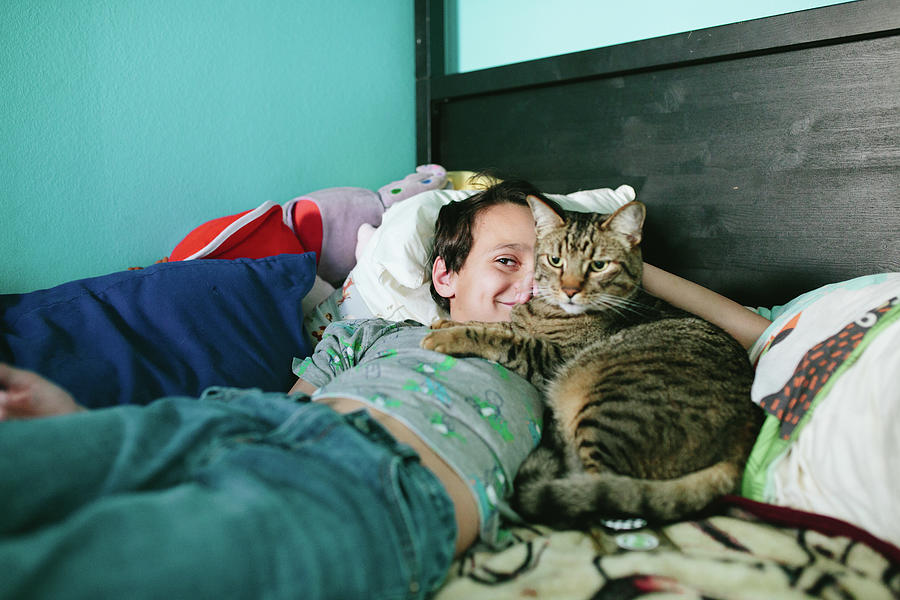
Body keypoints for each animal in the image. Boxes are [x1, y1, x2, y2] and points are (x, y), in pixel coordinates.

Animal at [426, 196, 764, 524]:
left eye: (599, 265)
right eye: (555, 260)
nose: (570, 290)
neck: (546, 311)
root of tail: (741, 445)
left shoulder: (549, 357)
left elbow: (499, 338)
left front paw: (446, 337)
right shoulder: (522, 327)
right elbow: (494, 325)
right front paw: (444, 323)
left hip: (609, 411)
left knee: (599, 494)